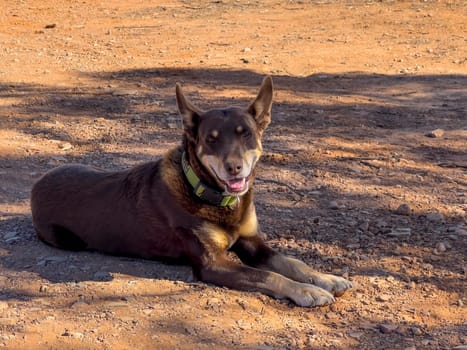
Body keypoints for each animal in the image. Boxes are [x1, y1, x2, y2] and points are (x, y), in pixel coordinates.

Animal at [30, 77, 352, 306]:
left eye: (246, 134)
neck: (217, 198)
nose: (234, 168)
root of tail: (37, 183)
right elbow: (269, 275)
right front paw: (307, 291)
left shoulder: (252, 242)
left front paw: (324, 278)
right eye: (211, 139)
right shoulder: (213, 265)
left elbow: (290, 262)